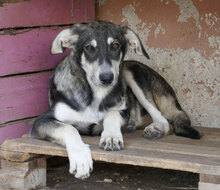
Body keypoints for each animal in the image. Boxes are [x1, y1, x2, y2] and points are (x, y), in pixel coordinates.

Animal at [29, 20, 201, 180]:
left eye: (115, 45)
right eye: (89, 48)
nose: (107, 78)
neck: (95, 95)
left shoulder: (123, 109)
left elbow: (111, 115)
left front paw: (111, 136)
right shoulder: (41, 121)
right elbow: (68, 128)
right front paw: (80, 159)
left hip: (130, 71)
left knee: (164, 120)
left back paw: (154, 128)